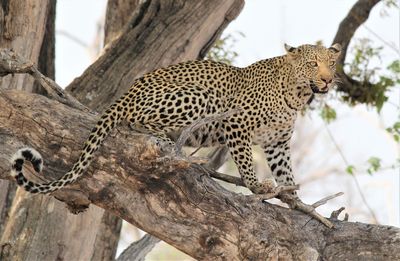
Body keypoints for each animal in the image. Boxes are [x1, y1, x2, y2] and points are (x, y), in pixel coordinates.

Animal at [9, 43, 340, 197]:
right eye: (313, 64)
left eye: (331, 63)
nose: (326, 80)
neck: (297, 94)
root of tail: (128, 91)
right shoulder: (237, 124)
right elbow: (246, 162)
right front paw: (257, 187)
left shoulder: (277, 143)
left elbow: (286, 172)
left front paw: (295, 200)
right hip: (200, 96)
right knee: (137, 120)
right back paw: (166, 141)